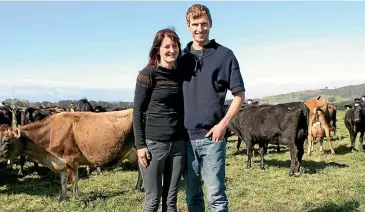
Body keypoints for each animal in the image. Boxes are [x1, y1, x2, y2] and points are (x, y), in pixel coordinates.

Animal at [0, 109, 139, 200]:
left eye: (6, 140)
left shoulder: (72, 159)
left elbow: (73, 181)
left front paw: (75, 198)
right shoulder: (61, 162)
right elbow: (63, 181)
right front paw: (63, 197)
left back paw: (138, 187)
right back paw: (138, 188)